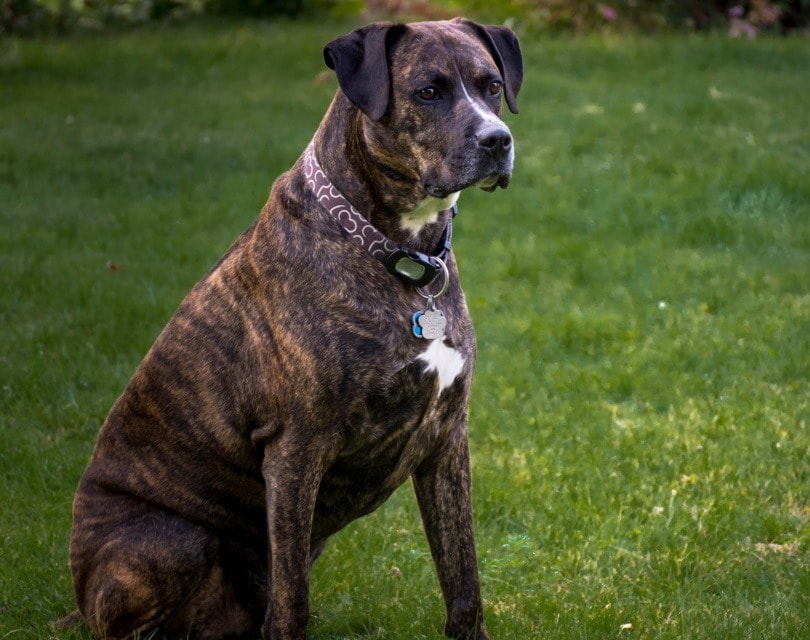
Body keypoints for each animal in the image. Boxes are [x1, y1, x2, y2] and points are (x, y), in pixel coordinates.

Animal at [69, 16, 524, 640]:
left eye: (492, 86)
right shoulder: (294, 450)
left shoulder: (447, 439)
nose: (497, 140)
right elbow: (291, 602)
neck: (397, 252)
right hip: (169, 540)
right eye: (428, 92)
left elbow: (463, 580)